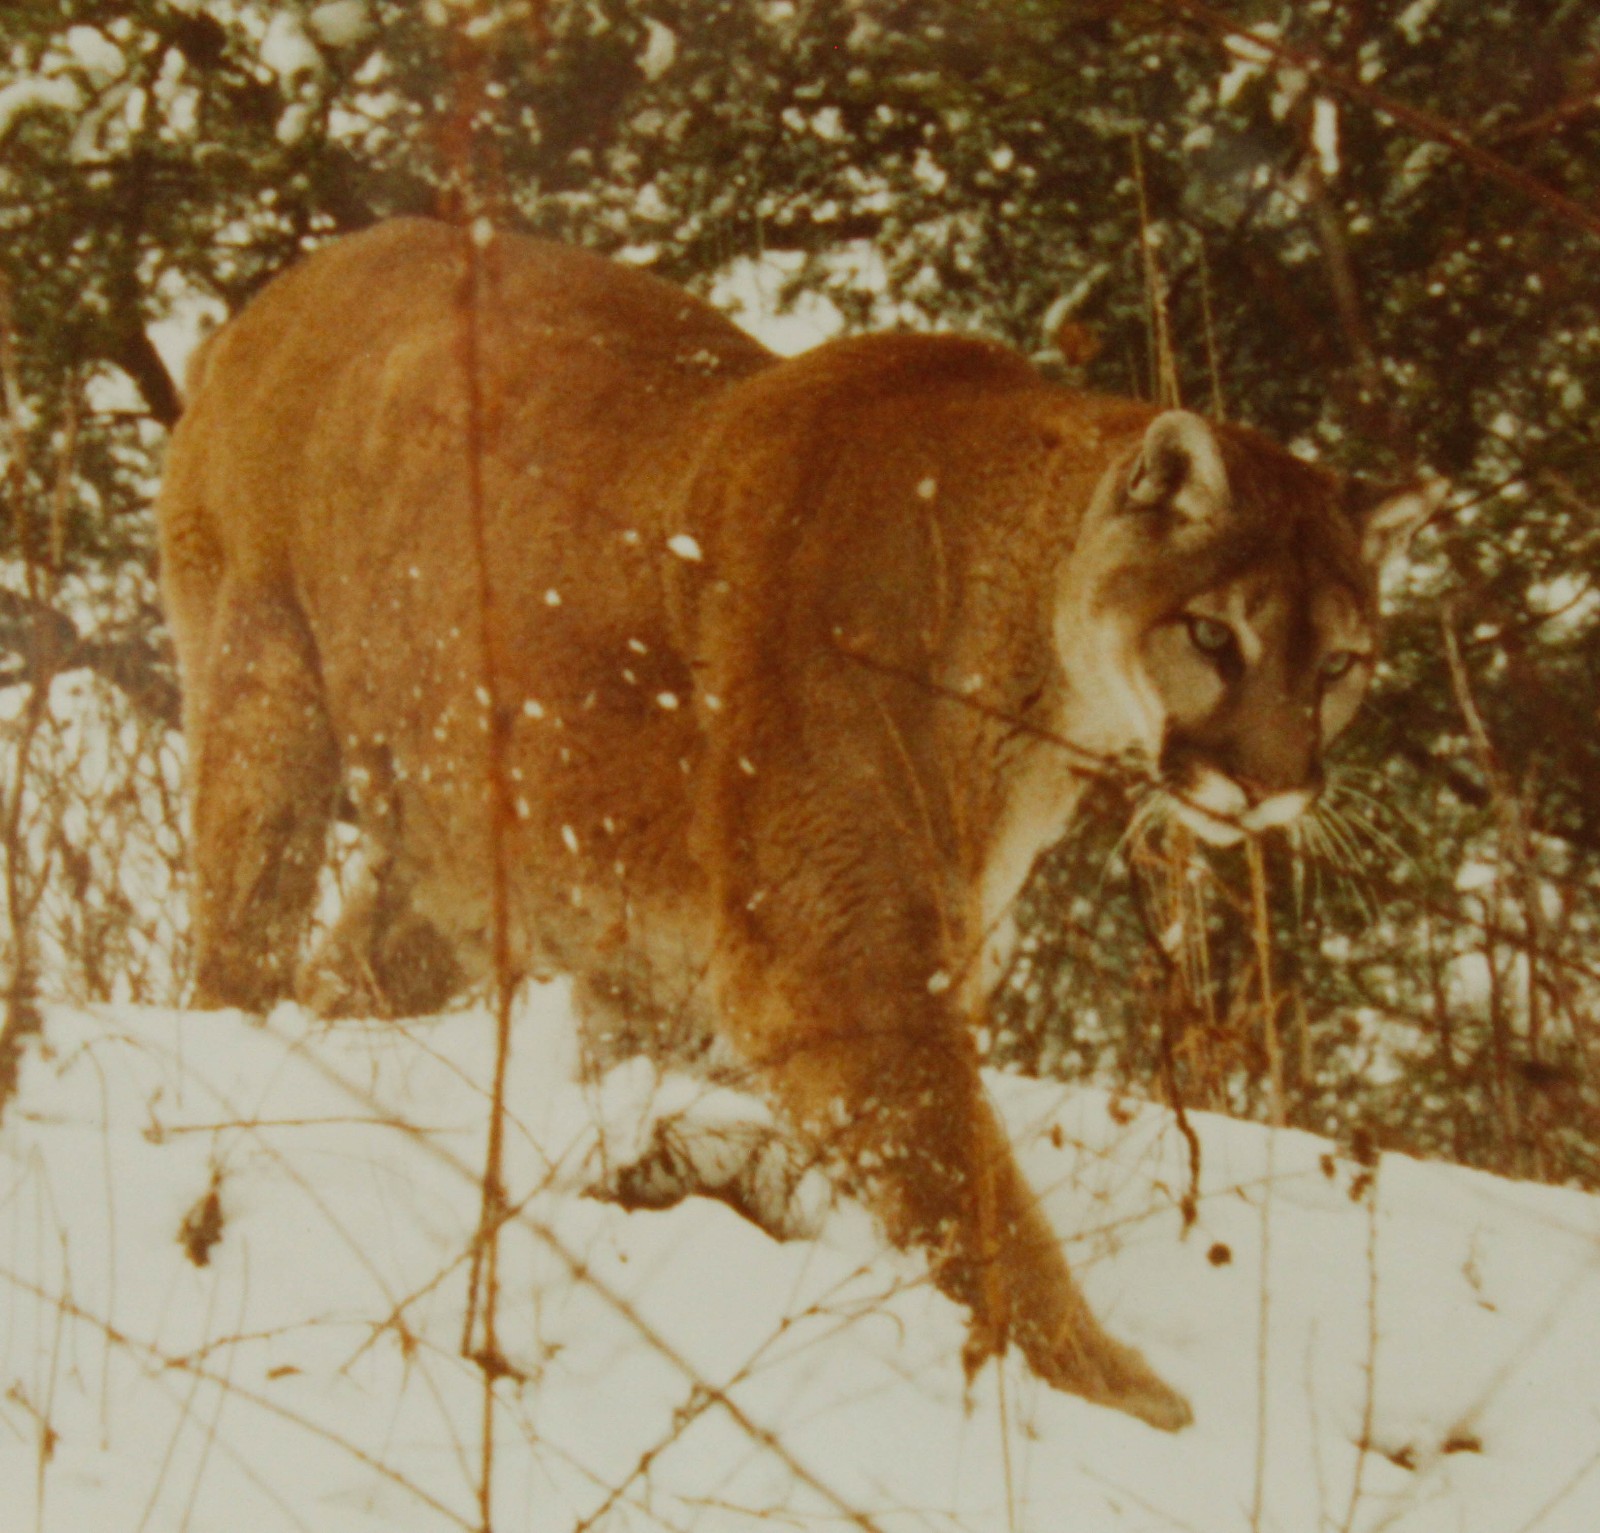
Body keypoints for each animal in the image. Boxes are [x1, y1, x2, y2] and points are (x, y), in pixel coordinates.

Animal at [158, 217, 1432, 1432]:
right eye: (1214, 635)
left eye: (1340, 664)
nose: (1270, 784)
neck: (1031, 676)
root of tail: (267, 299)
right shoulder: (834, 973)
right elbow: (974, 1201)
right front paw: (1121, 1397)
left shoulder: (695, 961)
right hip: (269, 715)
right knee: (235, 959)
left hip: (466, 856)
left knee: (340, 977)